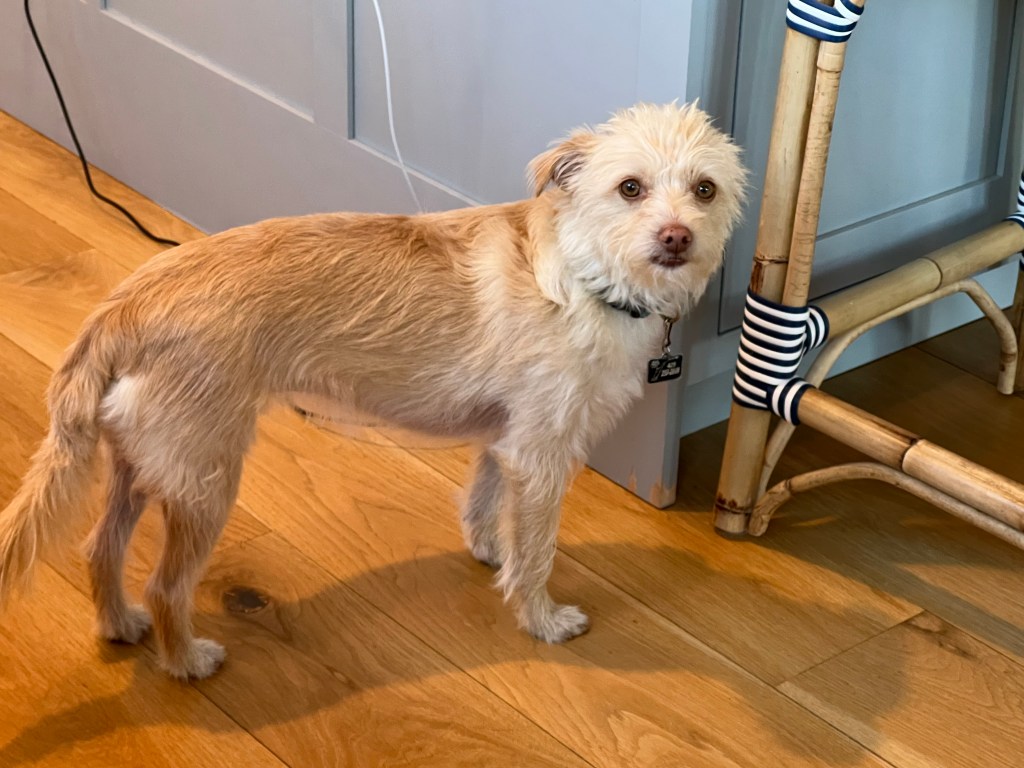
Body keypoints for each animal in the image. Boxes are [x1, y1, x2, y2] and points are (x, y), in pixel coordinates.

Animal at [0, 102, 746, 679]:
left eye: (706, 190)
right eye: (630, 188)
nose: (677, 237)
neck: (584, 271)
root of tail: (120, 311)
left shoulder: (503, 439)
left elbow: (484, 501)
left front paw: (489, 552)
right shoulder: (541, 455)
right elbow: (537, 550)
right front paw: (540, 617)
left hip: (140, 465)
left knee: (101, 548)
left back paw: (119, 623)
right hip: (204, 481)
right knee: (164, 586)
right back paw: (186, 661)